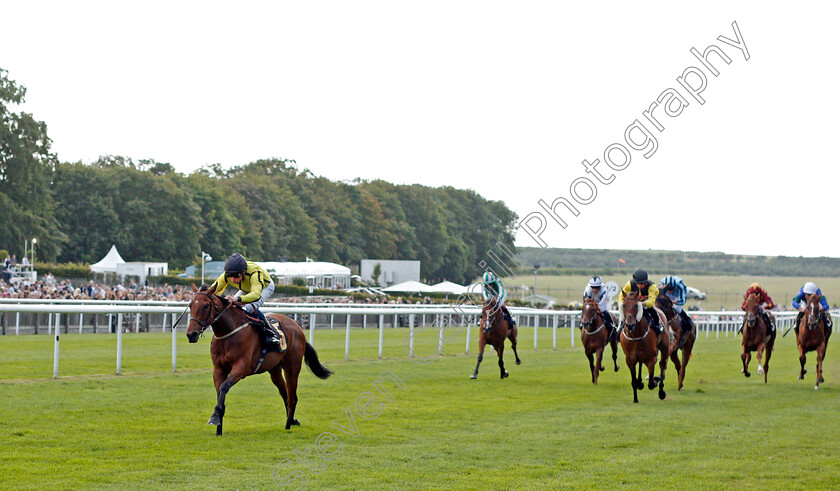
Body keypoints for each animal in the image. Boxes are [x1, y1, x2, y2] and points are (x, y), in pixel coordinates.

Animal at [185, 282, 334, 436]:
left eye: (206, 306)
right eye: (190, 305)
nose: (191, 334)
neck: (228, 333)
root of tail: (297, 326)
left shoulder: (241, 368)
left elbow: (224, 387)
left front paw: (214, 417)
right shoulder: (218, 369)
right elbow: (220, 392)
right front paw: (218, 428)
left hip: (292, 367)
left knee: (292, 397)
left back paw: (288, 425)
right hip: (274, 369)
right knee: (285, 393)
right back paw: (293, 420)